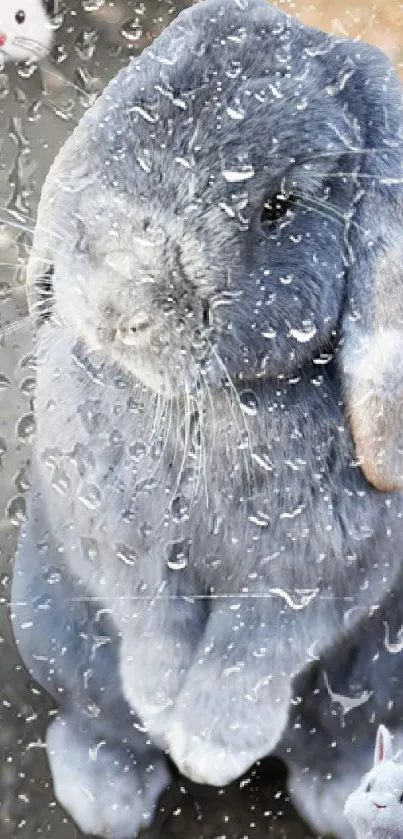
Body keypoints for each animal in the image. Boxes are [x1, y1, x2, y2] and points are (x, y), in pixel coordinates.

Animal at [10, 0, 403, 836]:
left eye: (278, 207)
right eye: (130, 123)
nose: (117, 303)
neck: (208, 408)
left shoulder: (321, 576)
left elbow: (254, 648)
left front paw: (210, 750)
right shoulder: (117, 539)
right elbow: (150, 621)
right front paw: (166, 711)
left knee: (337, 739)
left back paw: (348, 801)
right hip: (53, 635)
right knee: (99, 723)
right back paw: (105, 797)